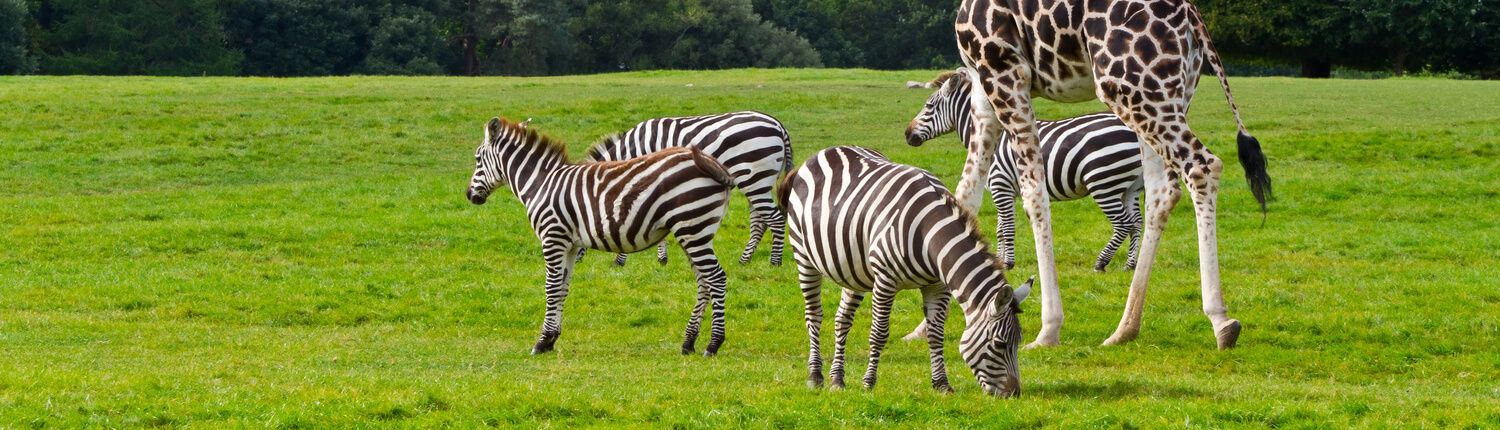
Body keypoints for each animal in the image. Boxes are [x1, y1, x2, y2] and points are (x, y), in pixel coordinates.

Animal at [467, 116, 736, 356]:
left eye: (478, 159)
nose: (470, 195)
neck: (540, 184)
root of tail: (712, 163)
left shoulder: (553, 237)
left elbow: (551, 288)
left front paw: (541, 342)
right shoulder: (570, 245)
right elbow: (563, 287)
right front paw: (552, 339)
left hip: (692, 227)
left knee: (716, 278)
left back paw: (713, 345)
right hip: (695, 231)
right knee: (704, 282)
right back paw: (688, 343)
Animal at [583, 111, 792, 266]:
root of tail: (778, 125)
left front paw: (623, 259)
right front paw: (662, 258)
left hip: (754, 178)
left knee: (775, 219)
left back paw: (774, 262)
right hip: (759, 181)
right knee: (760, 221)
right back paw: (744, 260)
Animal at [780, 146, 1032, 396]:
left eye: (1018, 342)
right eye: (999, 344)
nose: (1014, 394)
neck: (929, 236)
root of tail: (820, 154)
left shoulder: (937, 285)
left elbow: (935, 334)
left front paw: (941, 384)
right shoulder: (885, 279)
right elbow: (879, 332)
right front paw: (868, 382)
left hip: (854, 270)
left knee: (842, 319)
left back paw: (837, 379)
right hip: (804, 257)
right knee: (814, 316)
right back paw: (815, 375)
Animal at [906, 68, 1146, 274]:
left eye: (929, 106)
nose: (907, 134)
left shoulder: (1000, 185)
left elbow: (1007, 227)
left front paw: (1008, 263)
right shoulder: (1004, 190)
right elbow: (1000, 229)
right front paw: (1000, 259)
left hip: (1103, 183)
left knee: (1124, 223)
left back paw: (1101, 263)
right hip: (1129, 186)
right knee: (1136, 222)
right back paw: (1130, 265)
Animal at [951, 0, 1272, 349]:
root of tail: (1191, 17)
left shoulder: (1004, 71)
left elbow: (1034, 196)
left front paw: (1048, 329)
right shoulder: (982, 88)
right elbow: (966, 194)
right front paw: (930, 324)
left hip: (1130, 87)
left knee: (1202, 166)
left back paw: (1220, 319)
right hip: (1170, 93)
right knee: (1162, 191)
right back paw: (1125, 328)